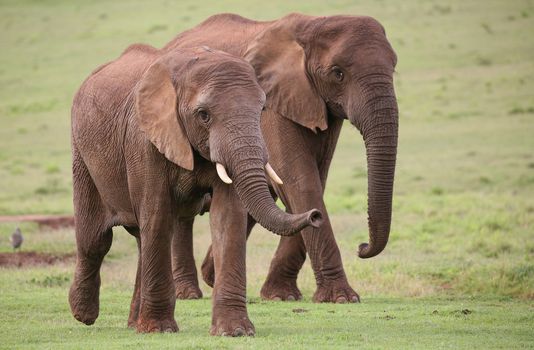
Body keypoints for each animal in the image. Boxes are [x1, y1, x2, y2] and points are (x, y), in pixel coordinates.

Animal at [69, 45, 324, 334]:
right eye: (203, 115)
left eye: (261, 110)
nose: (315, 215)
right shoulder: (144, 140)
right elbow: (157, 215)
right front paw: (160, 330)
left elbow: (227, 218)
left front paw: (235, 331)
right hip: (82, 154)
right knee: (96, 240)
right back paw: (84, 315)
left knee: (140, 239)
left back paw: (134, 324)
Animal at [165, 13, 400, 304]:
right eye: (338, 73)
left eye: (394, 67)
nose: (362, 247)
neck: (312, 25)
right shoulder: (274, 105)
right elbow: (299, 181)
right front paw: (342, 298)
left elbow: (312, 182)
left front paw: (280, 296)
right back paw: (188, 294)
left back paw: (210, 276)